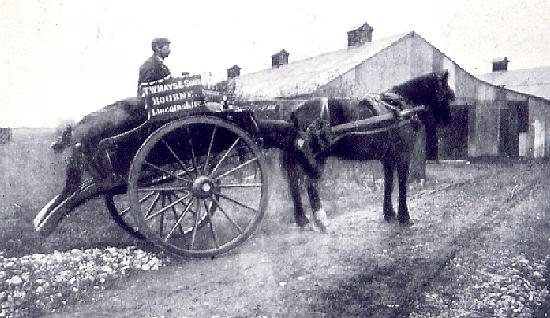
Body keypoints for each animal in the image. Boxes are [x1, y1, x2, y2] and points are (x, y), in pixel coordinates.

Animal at [282, 71, 454, 231]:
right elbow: (401, 184)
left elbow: (389, 183)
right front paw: (404, 217)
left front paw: (389, 214)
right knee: (310, 184)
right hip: (317, 158)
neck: (400, 106)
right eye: (445, 94)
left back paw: (302, 219)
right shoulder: (403, 156)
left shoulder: (387, 158)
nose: (448, 121)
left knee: (293, 181)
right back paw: (321, 221)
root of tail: (296, 112)